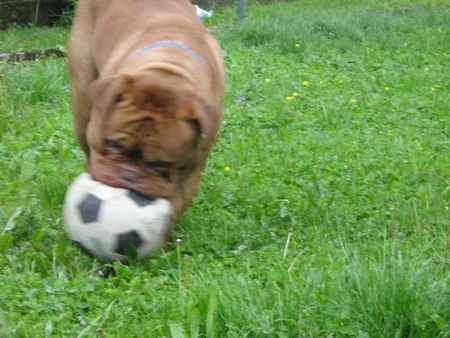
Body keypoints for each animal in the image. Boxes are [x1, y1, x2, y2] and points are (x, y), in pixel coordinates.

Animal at [68, 1, 225, 223]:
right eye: (113, 145)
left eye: (161, 164)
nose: (130, 176)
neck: (169, 69)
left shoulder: (189, 173)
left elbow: (172, 208)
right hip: (81, 101)